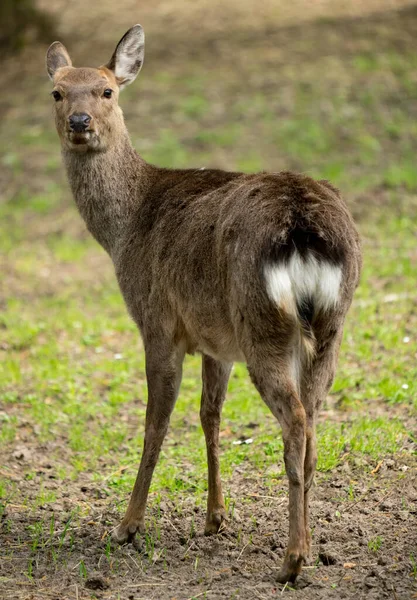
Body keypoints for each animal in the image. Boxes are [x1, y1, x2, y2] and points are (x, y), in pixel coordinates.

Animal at [44, 25, 358, 584]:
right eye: (57, 92)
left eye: (107, 91)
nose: (80, 123)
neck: (125, 230)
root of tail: (303, 228)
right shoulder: (216, 340)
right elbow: (209, 414)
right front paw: (215, 517)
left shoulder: (157, 321)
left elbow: (156, 422)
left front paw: (127, 526)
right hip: (330, 326)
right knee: (314, 421)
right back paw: (306, 546)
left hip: (262, 325)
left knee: (295, 421)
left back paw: (291, 561)